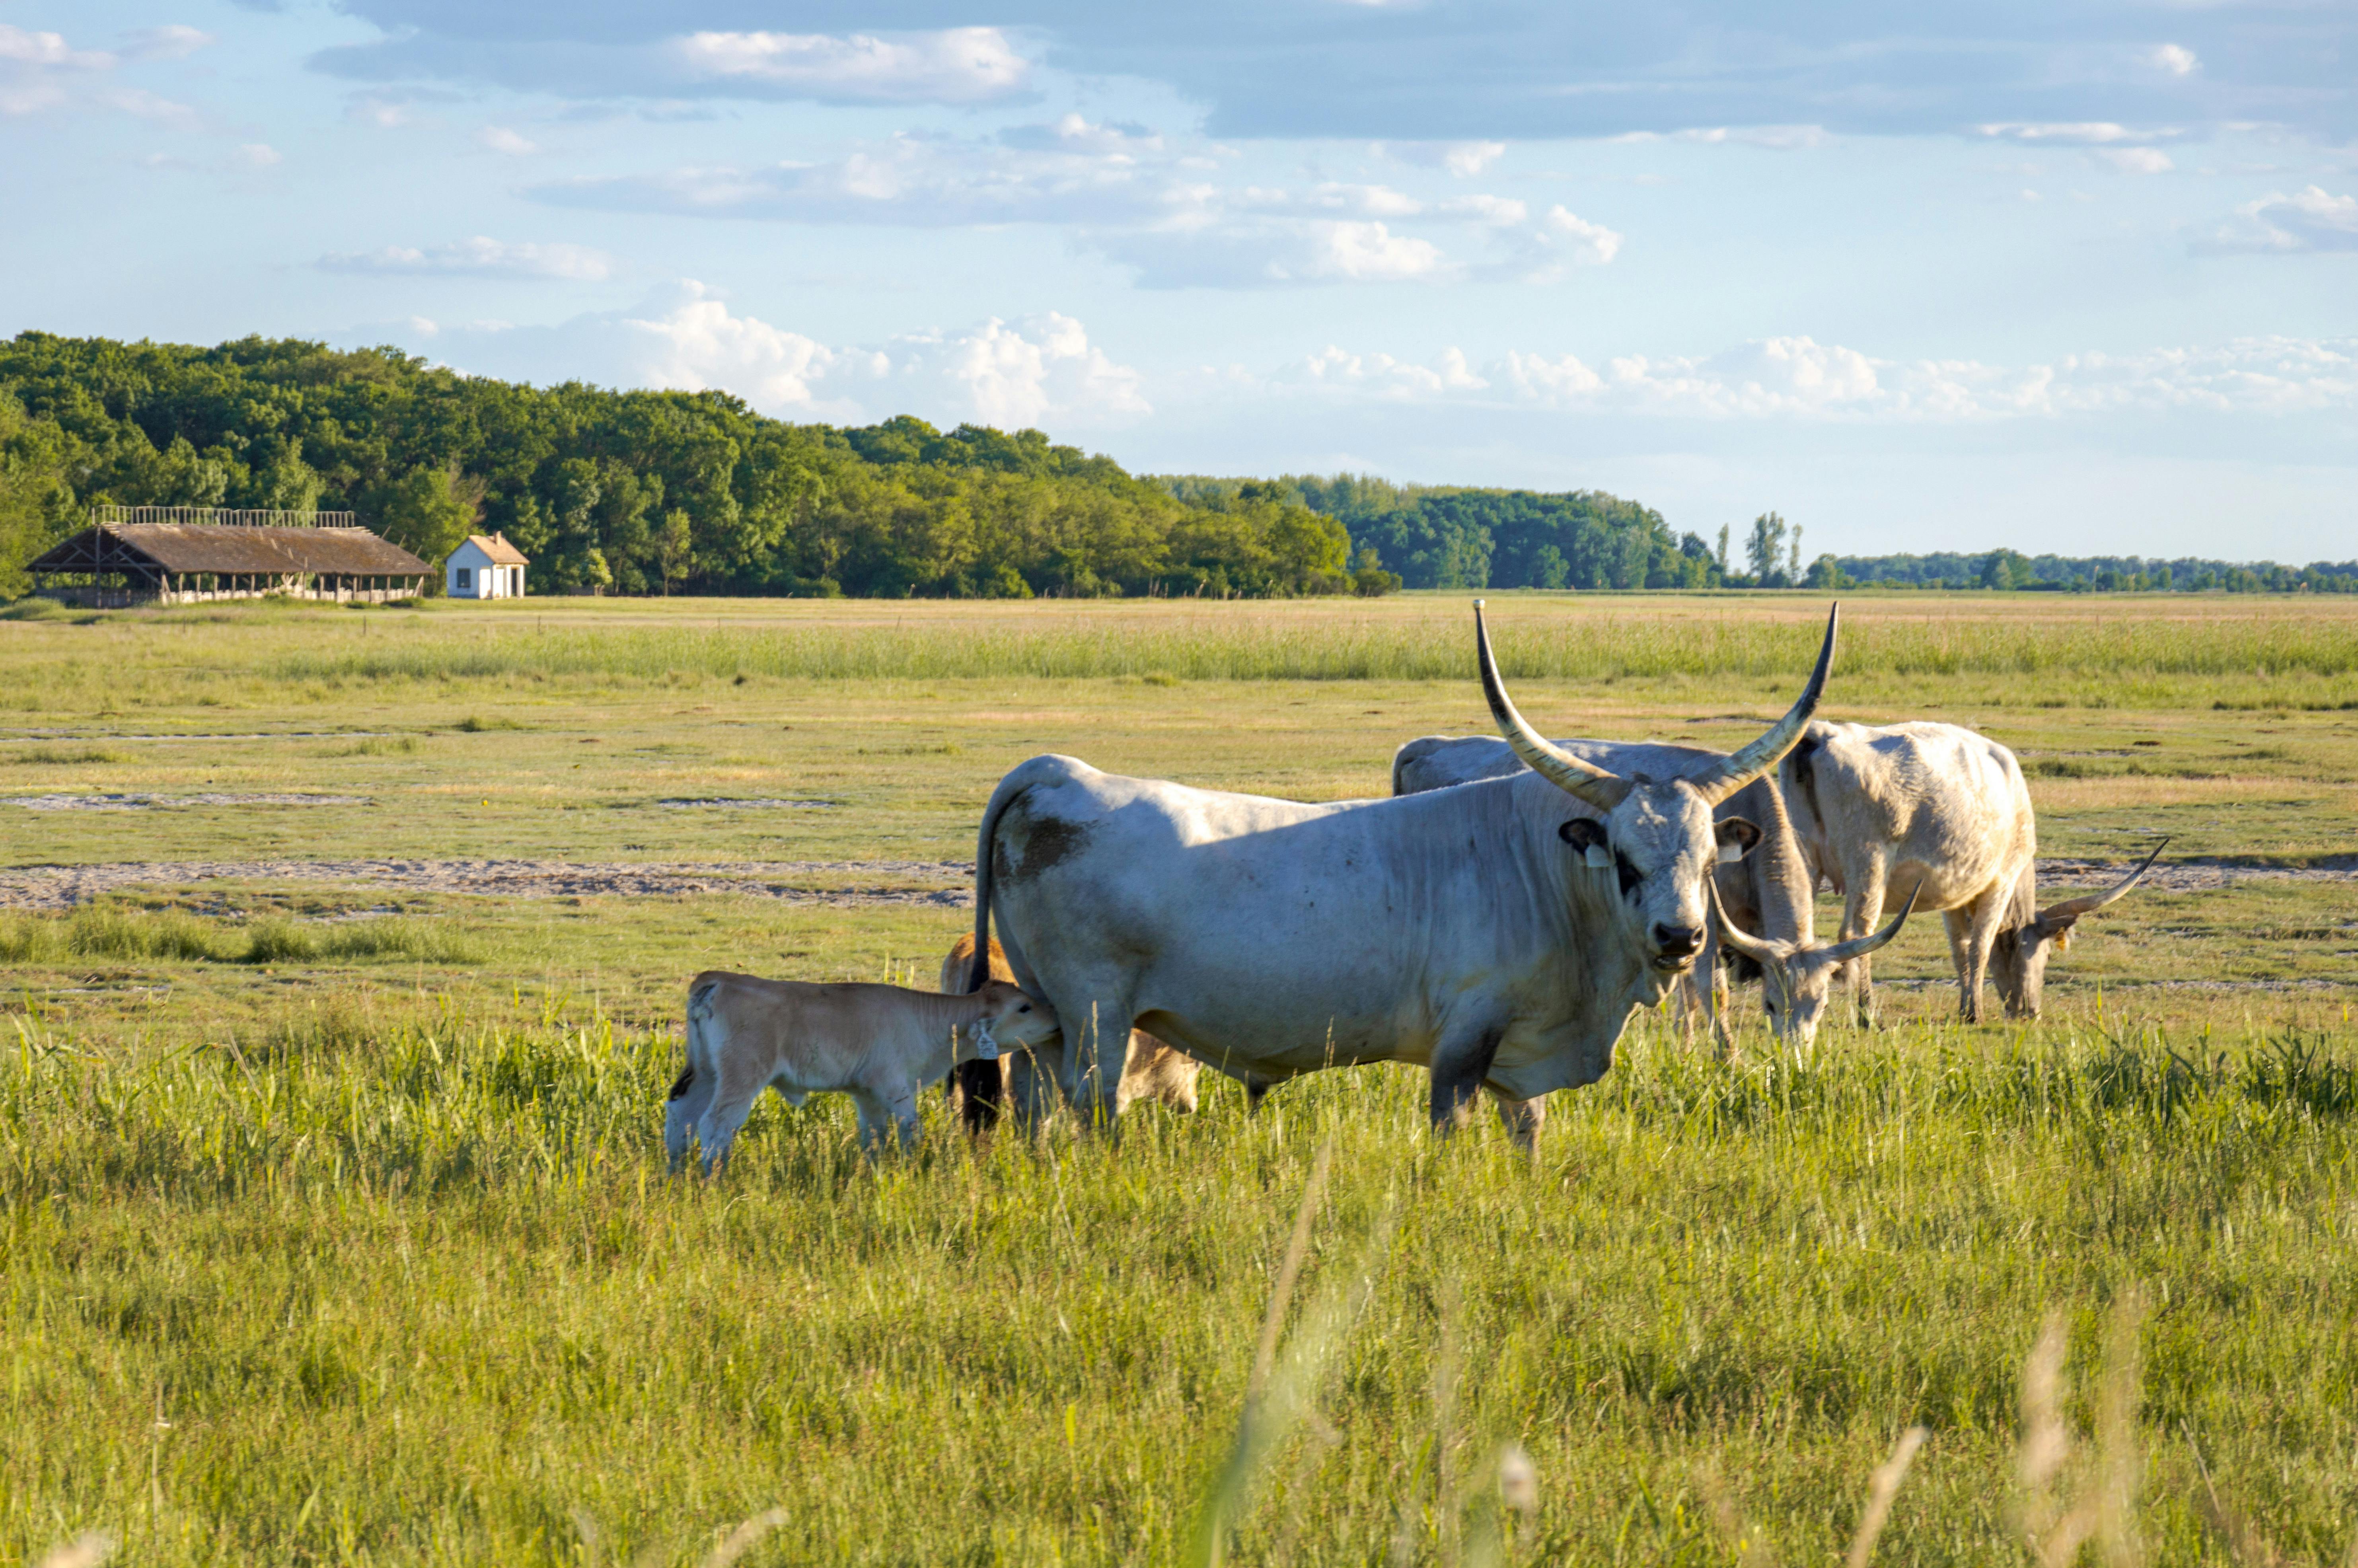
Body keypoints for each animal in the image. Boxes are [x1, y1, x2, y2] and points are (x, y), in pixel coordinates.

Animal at [665, 972, 1061, 1172]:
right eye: (1024, 1007)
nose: (1056, 1016)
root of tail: (717, 980)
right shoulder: (895, 1088)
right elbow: (910, 1129)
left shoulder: (867, 1096)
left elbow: (874, 1138)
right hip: (740, 1077)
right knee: (715, 1125)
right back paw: (716, 1179)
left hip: (706, 1076)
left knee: (681, 1119)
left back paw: (677, 1175)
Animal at [1778, 719, 2167, 1024]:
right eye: (2045, 955)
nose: (2030, 1012)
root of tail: (1822, 734)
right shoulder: (2000, 881)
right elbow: (1980, 946)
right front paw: (1974, 1013)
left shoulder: (1953, 894)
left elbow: (1959, 949)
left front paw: (1966, 1005)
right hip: (1868, 861)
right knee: (1857, 933)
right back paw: (1868, 1015)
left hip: (1801, 857)